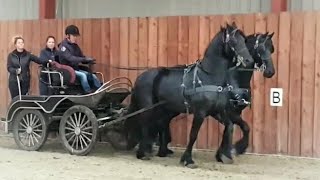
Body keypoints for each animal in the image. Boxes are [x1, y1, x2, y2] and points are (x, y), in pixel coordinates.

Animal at [121, 22, 254, 167]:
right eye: (234, 41)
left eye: (244, 40)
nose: (249, 60)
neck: (209, 77)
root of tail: (141, 77)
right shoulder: (200, 112)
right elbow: (193, 135)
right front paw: (188, 159)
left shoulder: (216, 111)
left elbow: (230, 127)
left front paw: (229, 153)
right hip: (148, 107)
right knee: (145, 124)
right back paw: (143, 153)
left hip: (162, 109)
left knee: (157, 124)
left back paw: (155, 151)